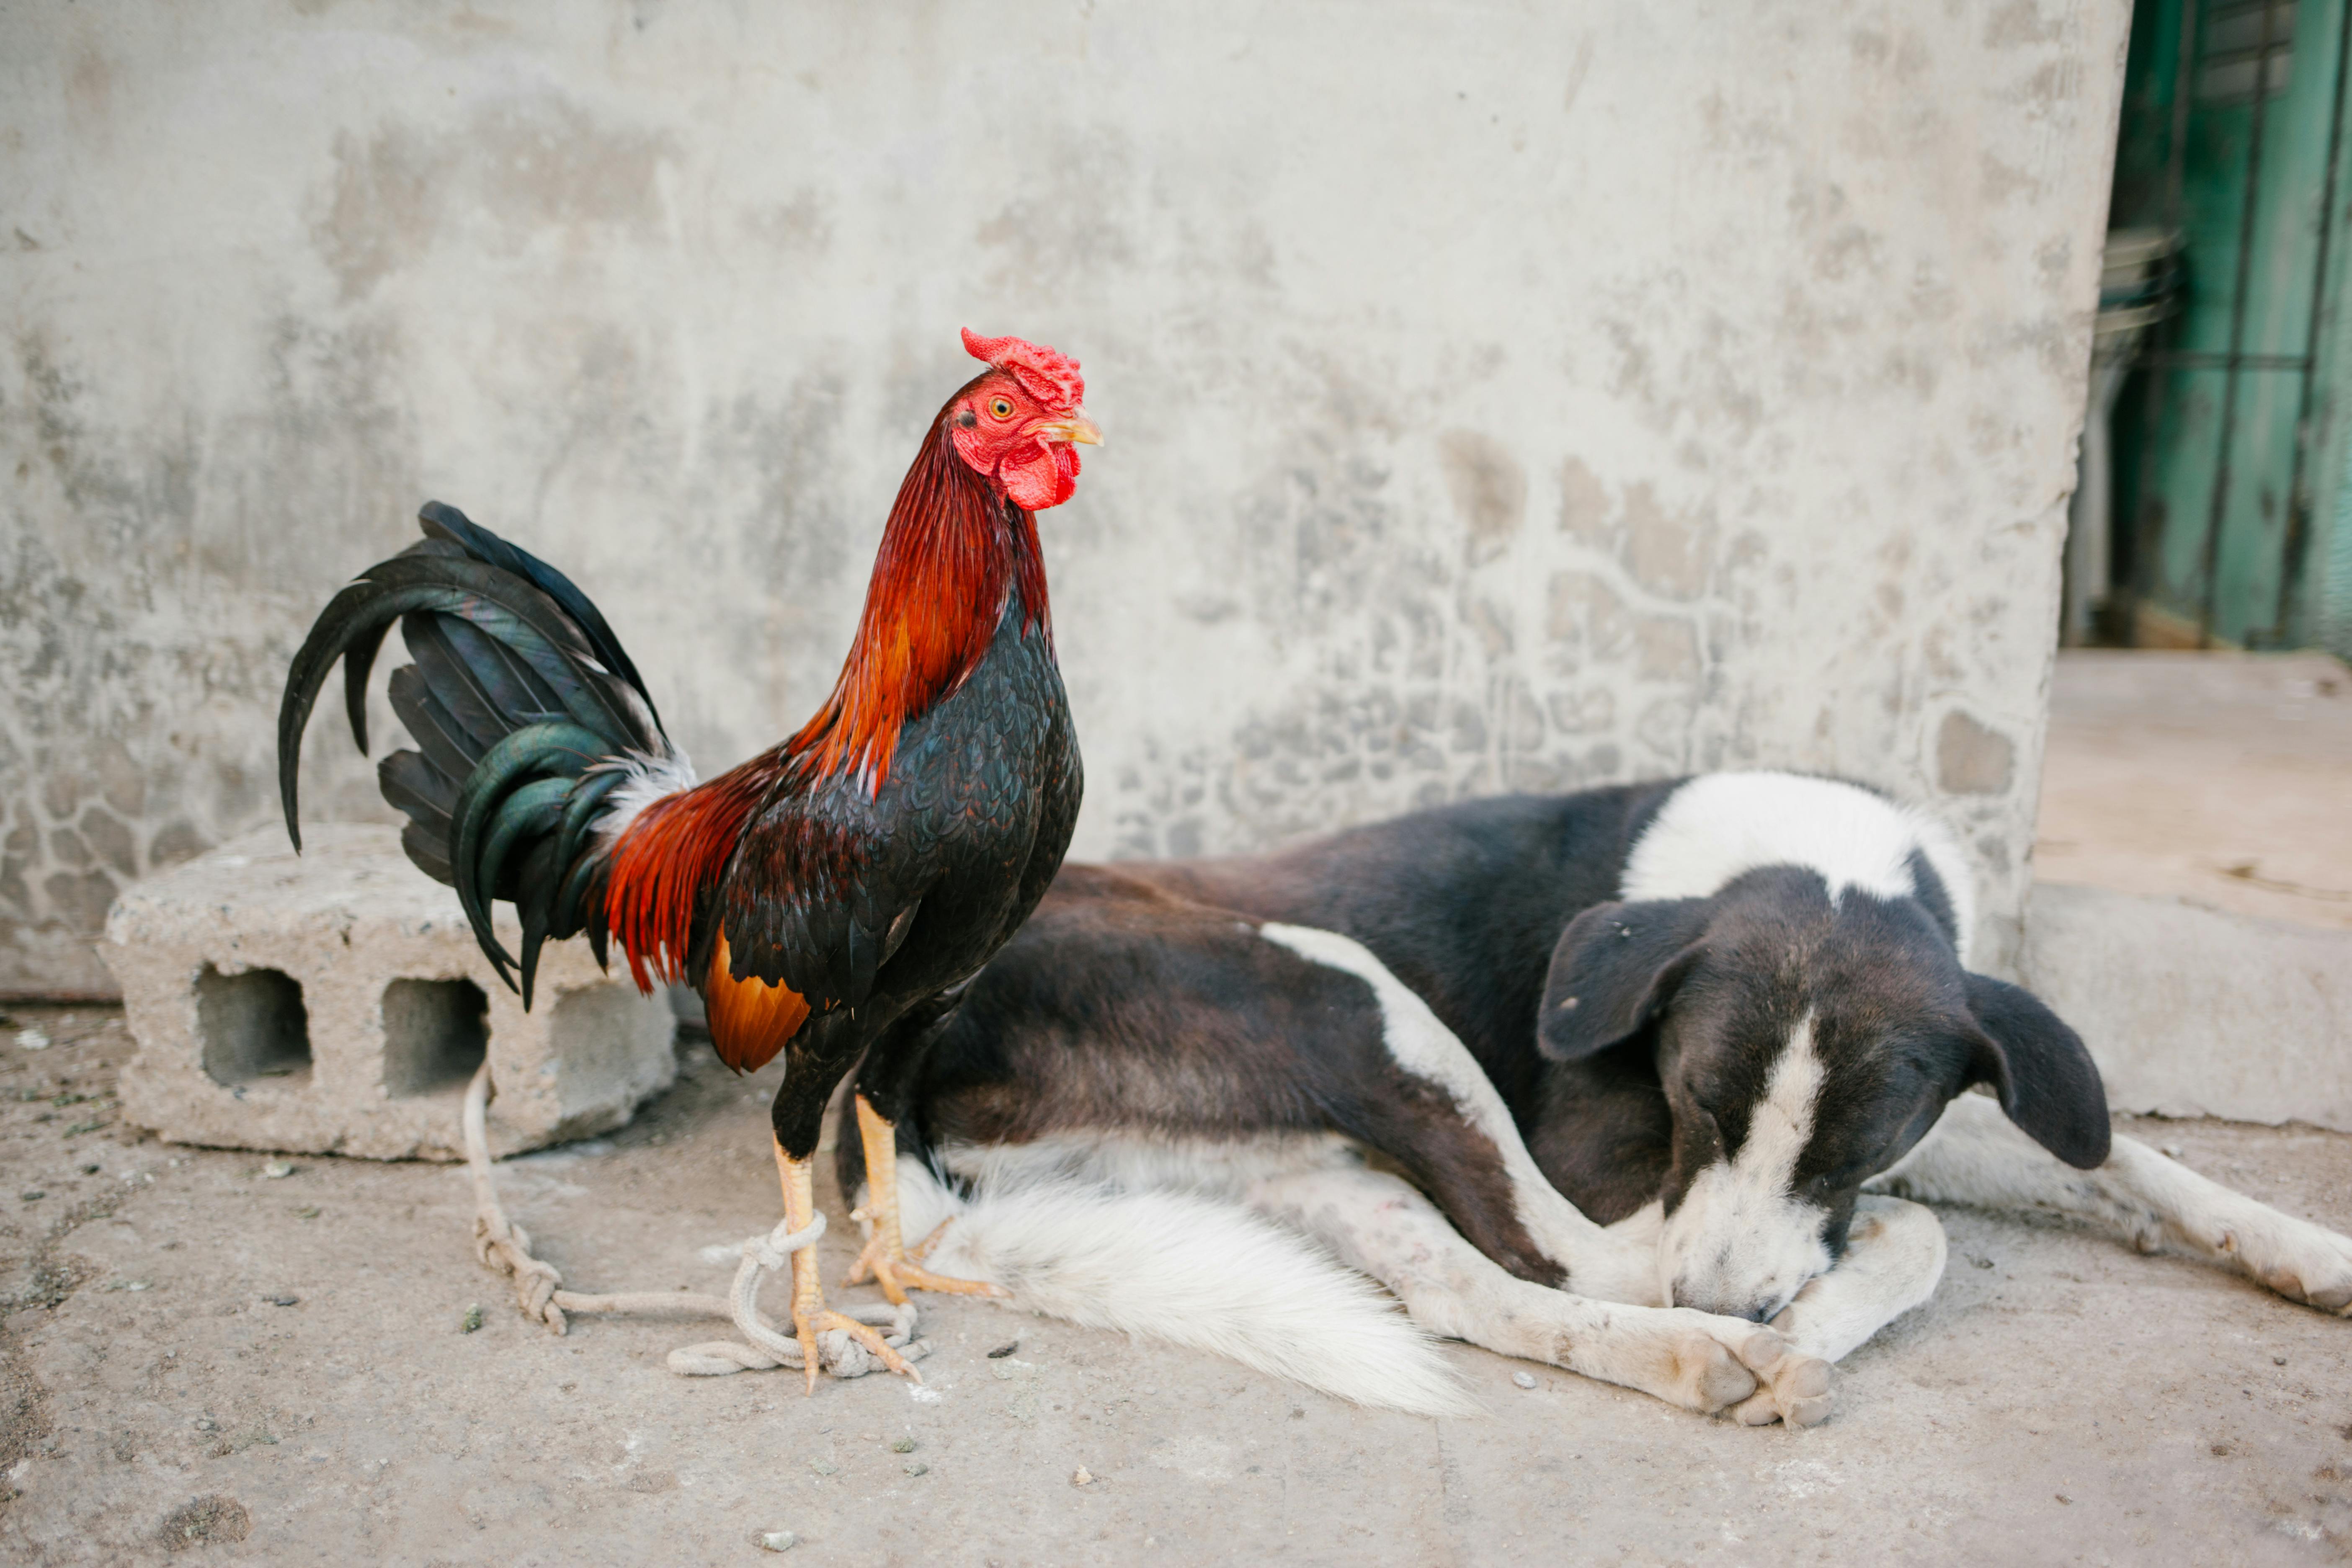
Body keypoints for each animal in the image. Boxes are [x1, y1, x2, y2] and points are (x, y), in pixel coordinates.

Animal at [846, 771, 2352, 1420]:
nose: (1731, 1301)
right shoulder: (1614, 1158)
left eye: (1843, 1146)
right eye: (1690, 1106)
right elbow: (1907, 1226)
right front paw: (1820, 1306)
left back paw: (1694, 1356)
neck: (1804, 857)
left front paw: (2308, 1249)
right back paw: (1748, 1340)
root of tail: (884, 1067)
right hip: (1343, 990)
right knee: (1573, 1257)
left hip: (1300, 1155)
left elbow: (2121, 1158)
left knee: (1473, 1289)